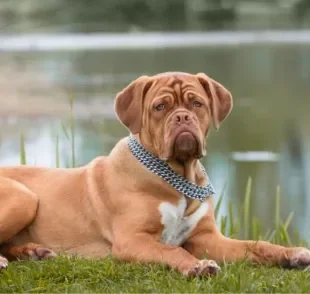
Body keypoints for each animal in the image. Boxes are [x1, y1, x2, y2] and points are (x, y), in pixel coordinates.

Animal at [0, 72, 310, 276]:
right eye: (160, 107)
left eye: (197, 103)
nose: (182, 117)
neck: (178, 176)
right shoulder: (132, 239)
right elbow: (172, 250)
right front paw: (197, 266)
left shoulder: (207, 238)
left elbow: (256, 245)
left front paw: (291, 253)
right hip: (24, 197)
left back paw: (34, 253)